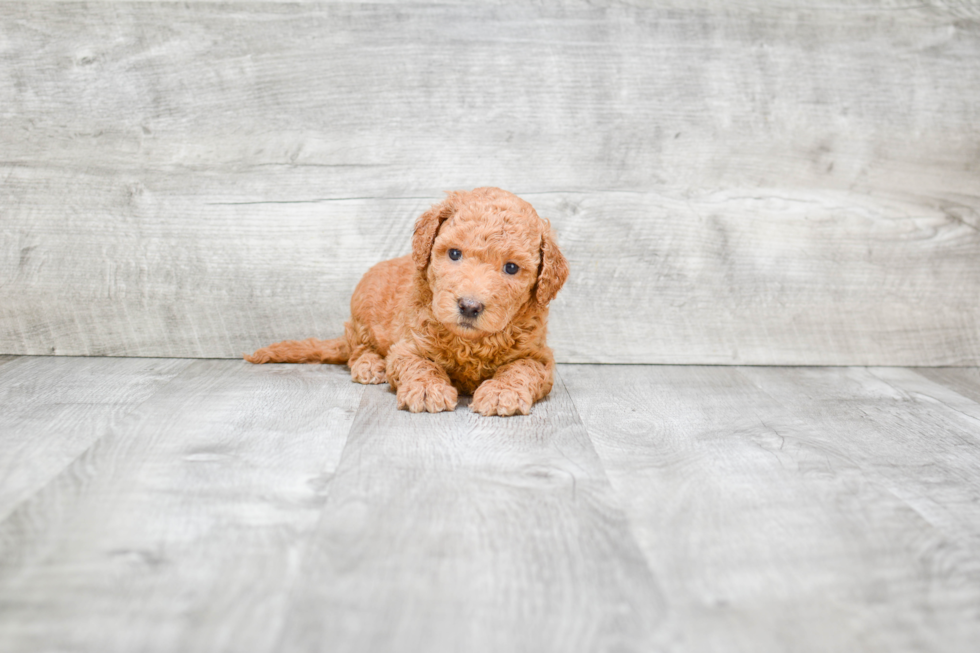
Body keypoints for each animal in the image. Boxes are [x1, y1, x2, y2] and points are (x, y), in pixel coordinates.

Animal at [242, 186, 572, 416]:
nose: (469, 306)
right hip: (361, 316)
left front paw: (502, 392)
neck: (468, 343)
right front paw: (427, 390)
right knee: (357, 350)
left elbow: (521, 369)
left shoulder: (538, 356)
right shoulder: (407, 345)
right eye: (454, 253)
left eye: (511, 268)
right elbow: (419, 364)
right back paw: (369, 365)